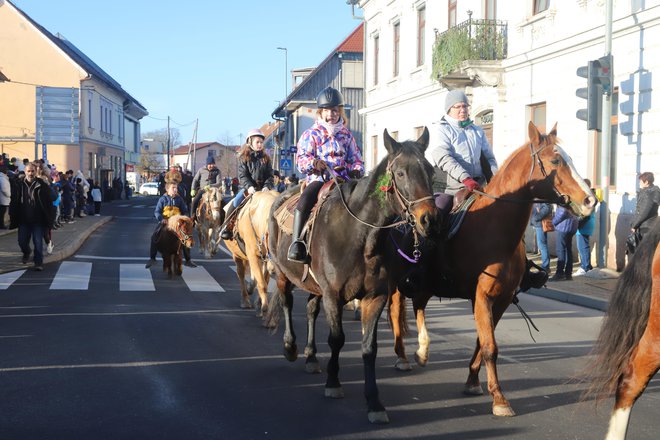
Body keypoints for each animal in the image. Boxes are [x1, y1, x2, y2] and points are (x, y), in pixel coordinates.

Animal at [262, 128, 438, 422]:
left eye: (430, 170)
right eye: (401, 173)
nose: (429, 220)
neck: (361, 237)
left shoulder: (375, 297)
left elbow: (369, 348)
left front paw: (374, 402)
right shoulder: (334, 295)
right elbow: (337, 339)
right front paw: (333, 384)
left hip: (315, 286)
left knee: (310, 309)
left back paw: (311, 356)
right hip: (284, 273)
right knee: (287, 303)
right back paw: (291, 347)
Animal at [390, 121, 596, 416]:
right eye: (555, 160)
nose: (591, 200)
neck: (495, 229)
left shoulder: (501, 299)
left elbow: (482, 341)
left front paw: (473, 381)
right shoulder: (483, 296)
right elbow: (490, 346)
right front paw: (499, 398)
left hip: (427, 285)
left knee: (418, 306)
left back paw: (421, 351)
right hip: (399, 282)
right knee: (395, 310)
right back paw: (403, 356)